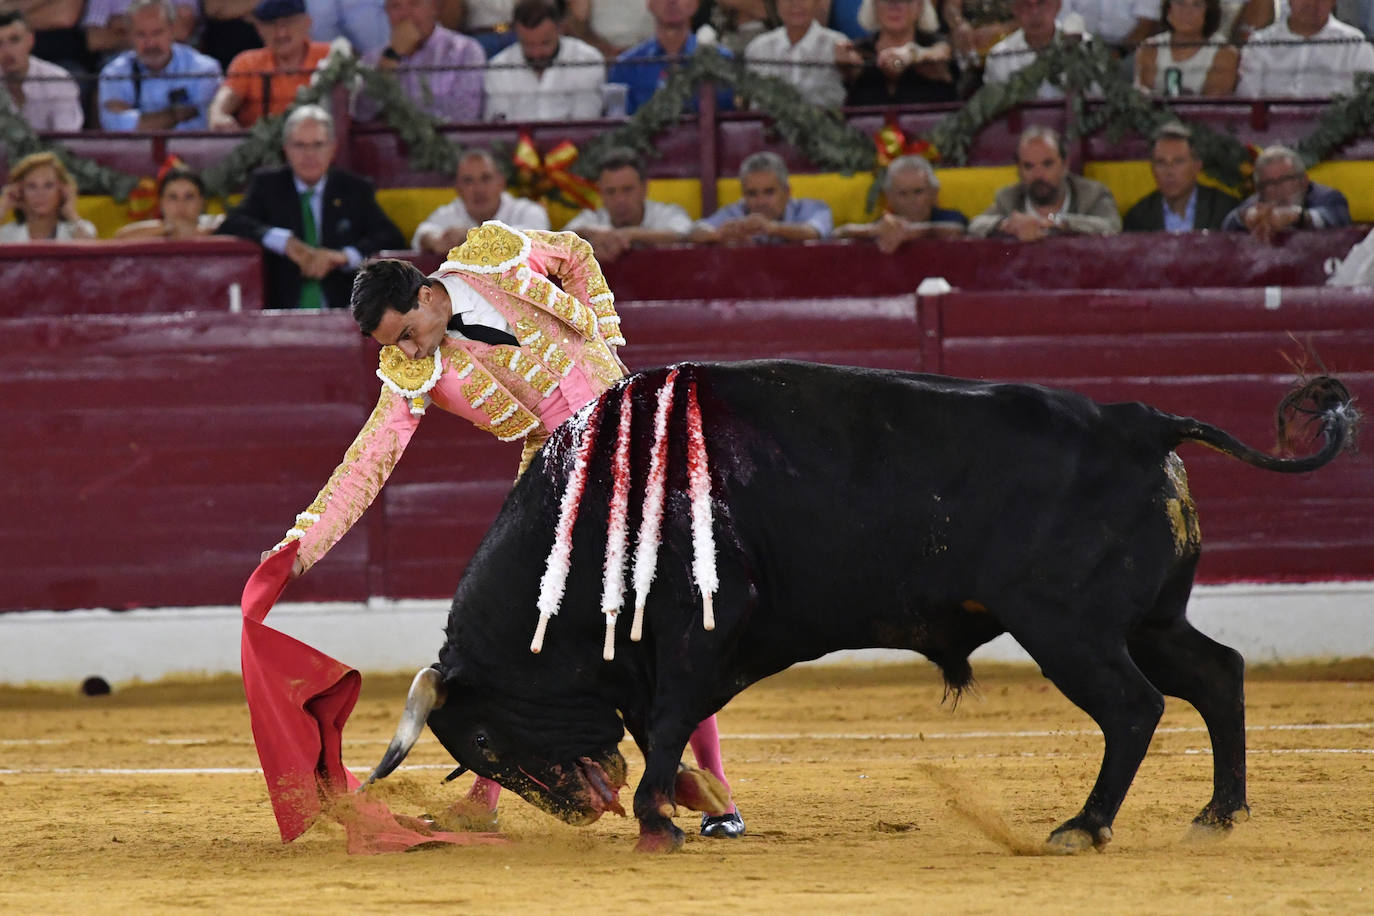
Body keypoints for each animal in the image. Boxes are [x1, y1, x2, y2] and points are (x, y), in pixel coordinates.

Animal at [370, 357, 1357, 851]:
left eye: (484, 736)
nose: (576, 810)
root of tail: (1144, 422)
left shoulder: (700, 630)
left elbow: (668, 719)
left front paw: (658, 819)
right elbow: (666, 725)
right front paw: (684, 807)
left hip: (1069, 628)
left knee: (1135, 706)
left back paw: (1084, 827)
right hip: (1146, 620)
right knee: (1217, 674)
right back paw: (1218, 815)